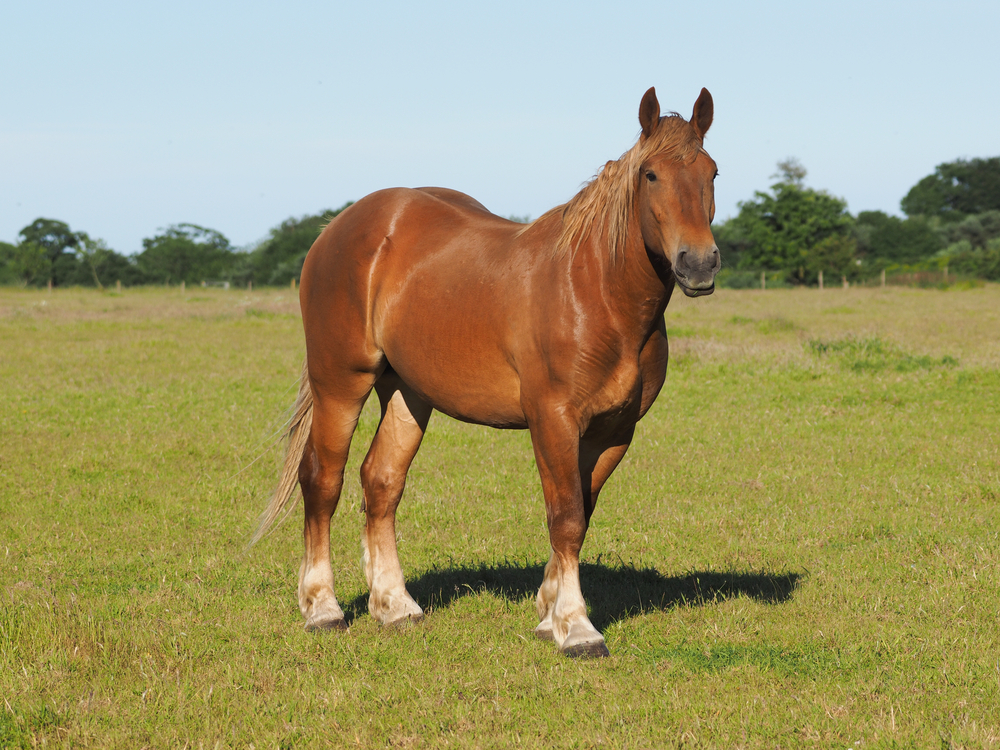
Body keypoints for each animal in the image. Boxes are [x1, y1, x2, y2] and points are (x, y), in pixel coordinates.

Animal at [250, 86, 720, 656]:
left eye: (712, 172)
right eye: (650, 174)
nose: (699, 263)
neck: (595, 290)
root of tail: (337, 228)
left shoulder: (614, 430)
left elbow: (580, 513)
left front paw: (549, 611)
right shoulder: (553, 419)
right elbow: (565, 516)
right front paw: (576, 627)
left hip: (409, 394)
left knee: (381, 481)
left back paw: (395, 605)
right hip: (340, 381)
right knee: (323, 479)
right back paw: (322, 607)